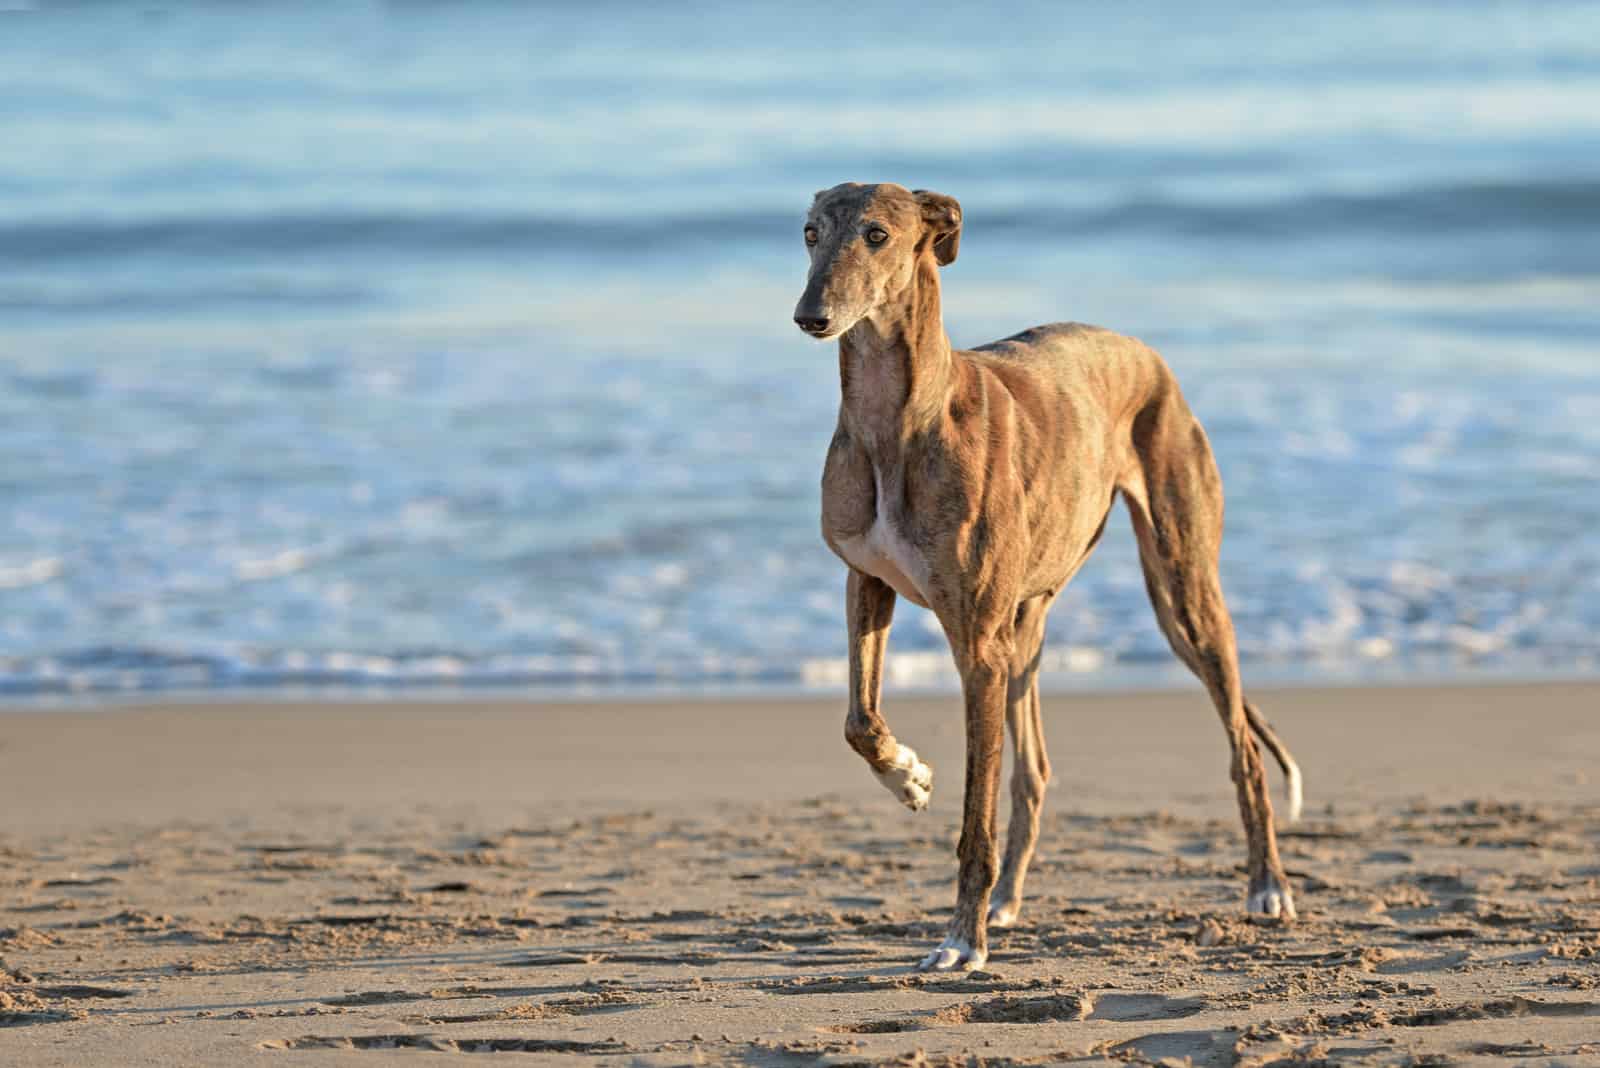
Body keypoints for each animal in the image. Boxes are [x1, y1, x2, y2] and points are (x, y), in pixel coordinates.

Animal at [793, 181, 1305, 965]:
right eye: (810, 232)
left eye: (877, 234)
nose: (811, 316)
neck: (897, 422)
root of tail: (1146, 353)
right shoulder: (867, 584)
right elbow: (860, 720)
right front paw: (909, 777)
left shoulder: (976, 645)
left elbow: (975, 817)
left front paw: (960, 941)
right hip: (1027, 628)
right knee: (1033, 774)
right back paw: (1007, 900)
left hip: (1182, 596)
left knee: (1243, 749)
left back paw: (1268, 888)